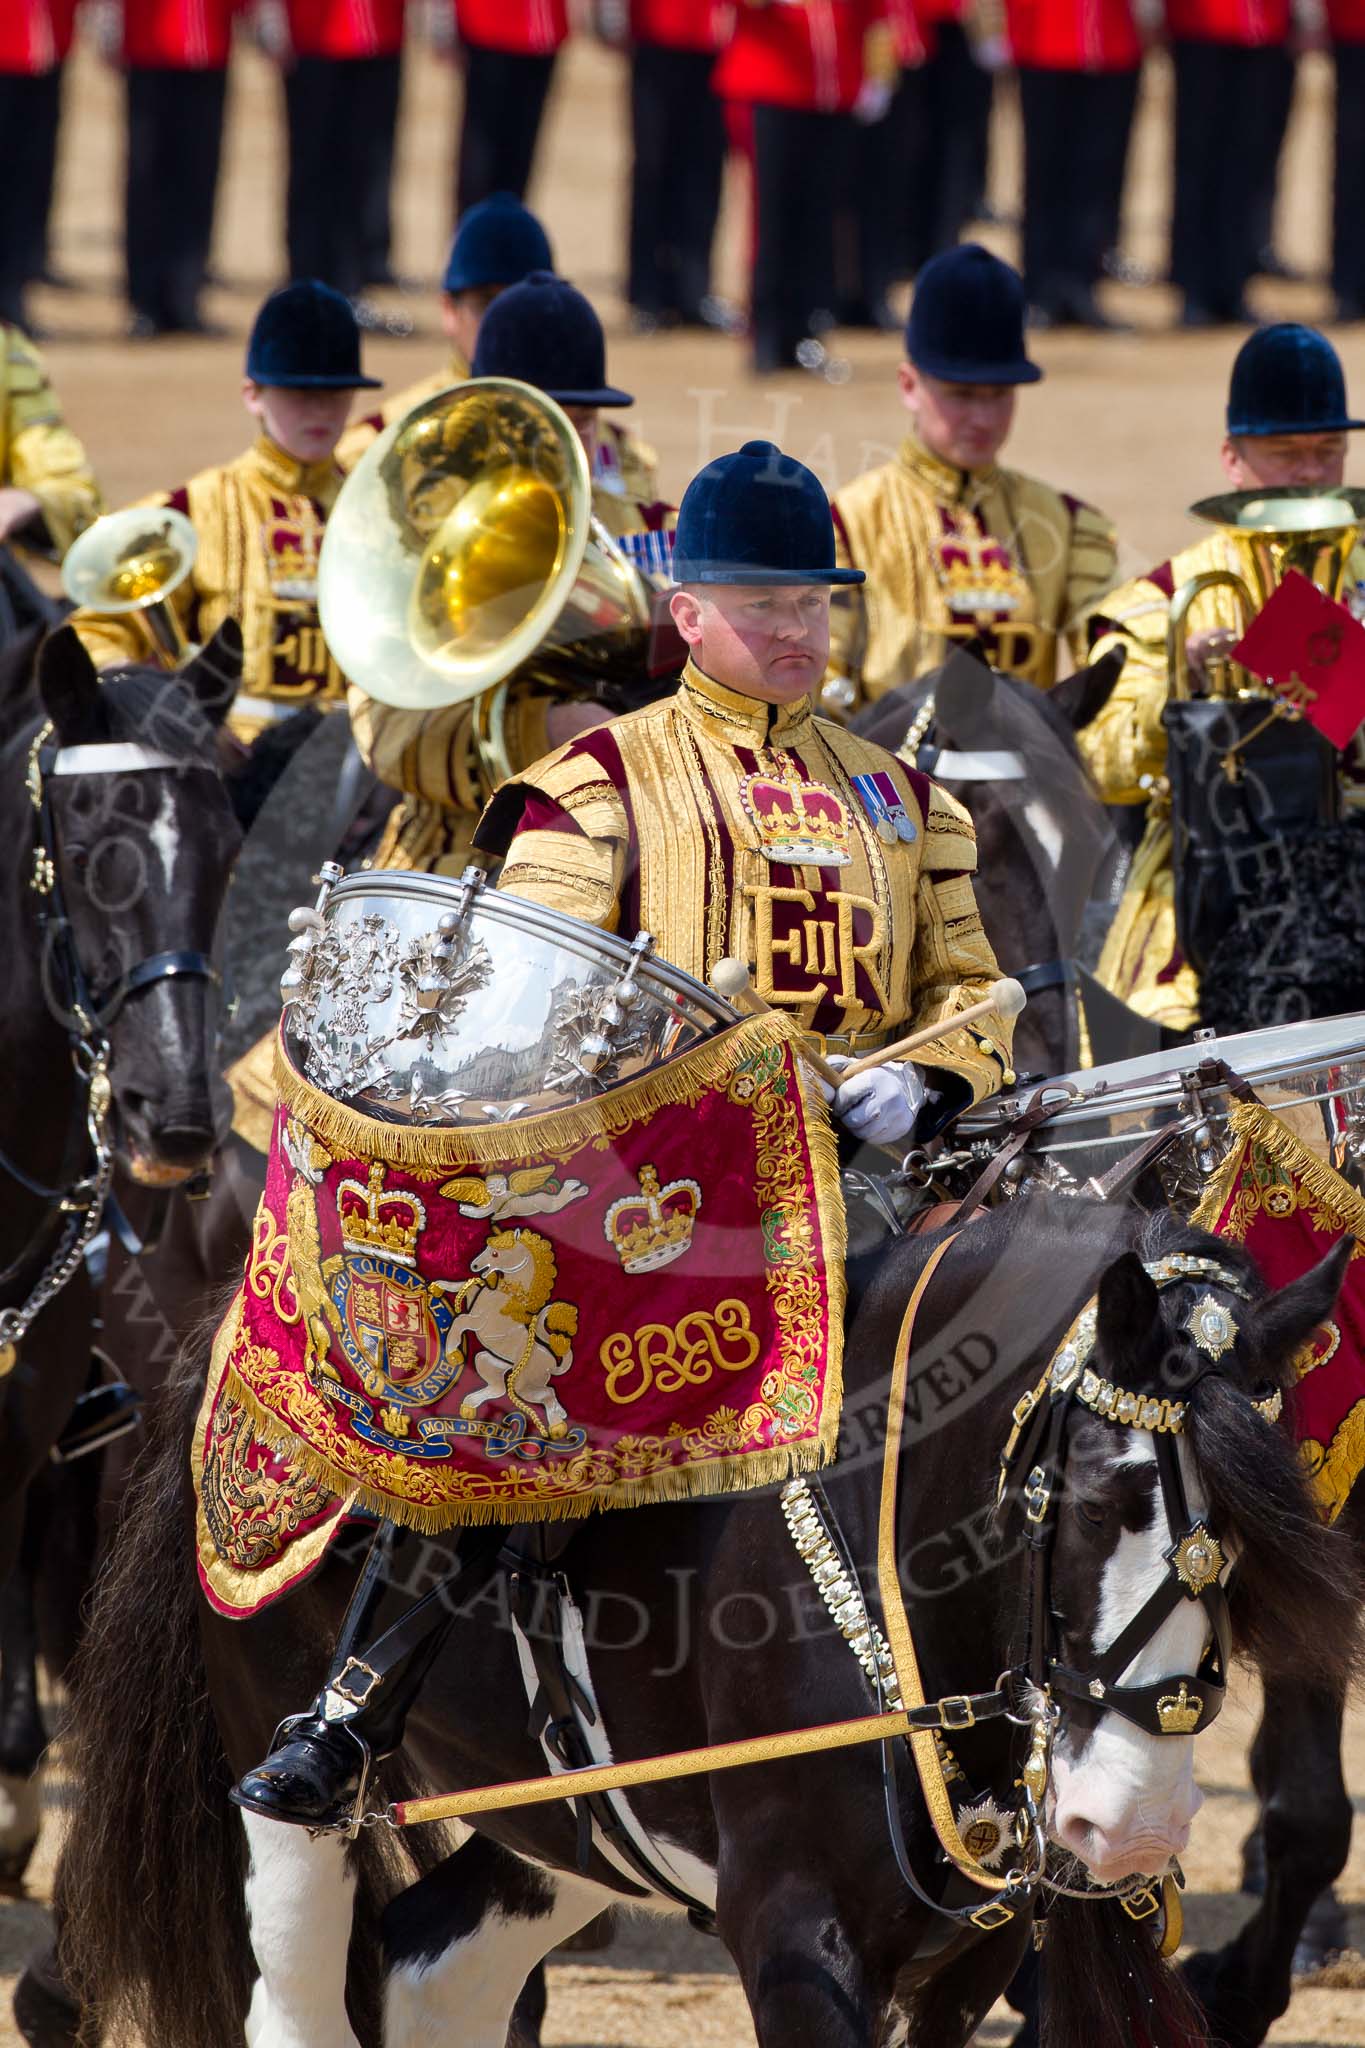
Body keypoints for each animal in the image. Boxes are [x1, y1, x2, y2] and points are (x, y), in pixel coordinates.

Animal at [50, 1196, 1358, 2039]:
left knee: (434, 1963)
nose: (1133, 1826)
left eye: (1263, 1532)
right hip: (283, 1783)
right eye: (1097, 1497)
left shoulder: (966, 1956)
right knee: (303, 1988)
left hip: (569, 1815)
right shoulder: (794, 1933)